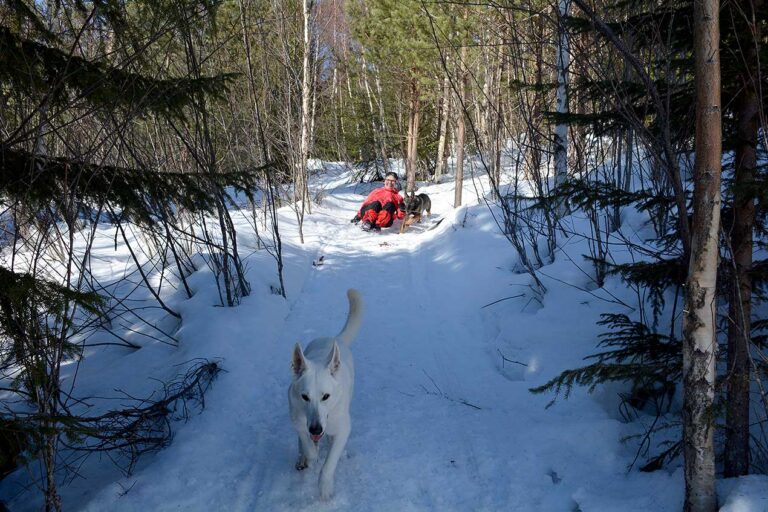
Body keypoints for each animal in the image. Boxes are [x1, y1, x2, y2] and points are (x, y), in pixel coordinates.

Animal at [288, 288, 364, 500]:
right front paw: (309, 454)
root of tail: (335, 338)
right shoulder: (298, 419)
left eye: (326, 397)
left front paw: (324, 487)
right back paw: (302, 457)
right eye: (305, 397)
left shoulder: (343, 428)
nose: (315, 429)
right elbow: (309, 447)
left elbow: (330, 462)